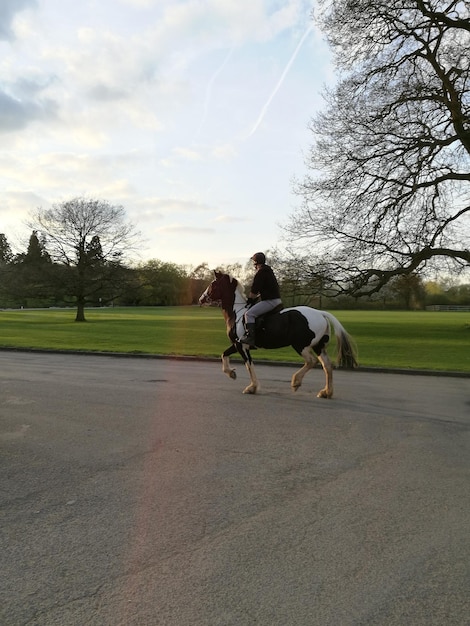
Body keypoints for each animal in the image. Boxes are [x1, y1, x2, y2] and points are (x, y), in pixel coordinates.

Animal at [197, 270, 356, 398]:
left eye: (212, 285)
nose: (201, 299)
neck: (237, 313)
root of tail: (320, 313)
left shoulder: (241, 346)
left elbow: (249, 365)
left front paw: (252, 387)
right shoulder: (237, 345)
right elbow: (224, 355)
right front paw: (231, 373)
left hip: (301, 346)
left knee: (311, 361)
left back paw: (296, 382)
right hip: (318, 346)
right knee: (327, 366)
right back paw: (326, 392)